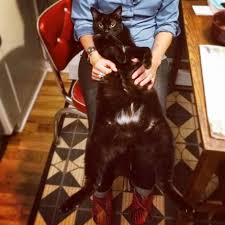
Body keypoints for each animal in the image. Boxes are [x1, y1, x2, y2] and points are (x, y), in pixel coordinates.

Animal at [60, 4, 192, 213]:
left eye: (113, 23)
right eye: (100, 23)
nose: (107, 29)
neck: (117, 38)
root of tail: (130, 138)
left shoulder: (132, 48)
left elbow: (144, 48)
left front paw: (147, 62)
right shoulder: (104, 47)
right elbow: (109, 48)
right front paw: (118, 53)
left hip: (164, 143)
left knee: (163, 182)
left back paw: (187, 207)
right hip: (95, 147)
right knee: (92, 183)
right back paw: (68, 204)